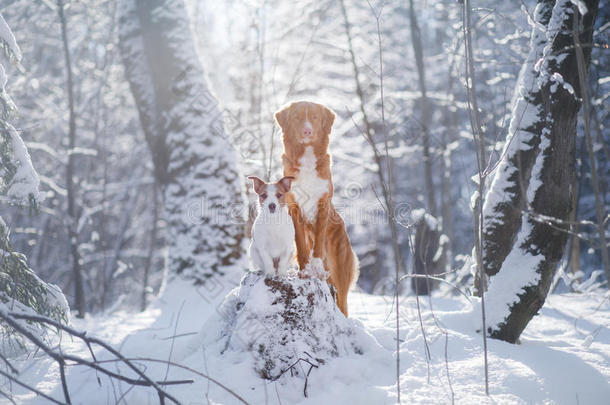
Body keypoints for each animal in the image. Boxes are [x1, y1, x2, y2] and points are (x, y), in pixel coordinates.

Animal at [274, 101, 358, 316]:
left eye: (315, 117)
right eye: (297, 117)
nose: (307, 131)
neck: (307, 158)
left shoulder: (322, 205)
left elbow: (318, 241)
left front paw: (316, 267)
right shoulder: (294, 207)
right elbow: (301, 243)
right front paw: (305, 271)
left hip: (340, 272)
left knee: (342, 303)